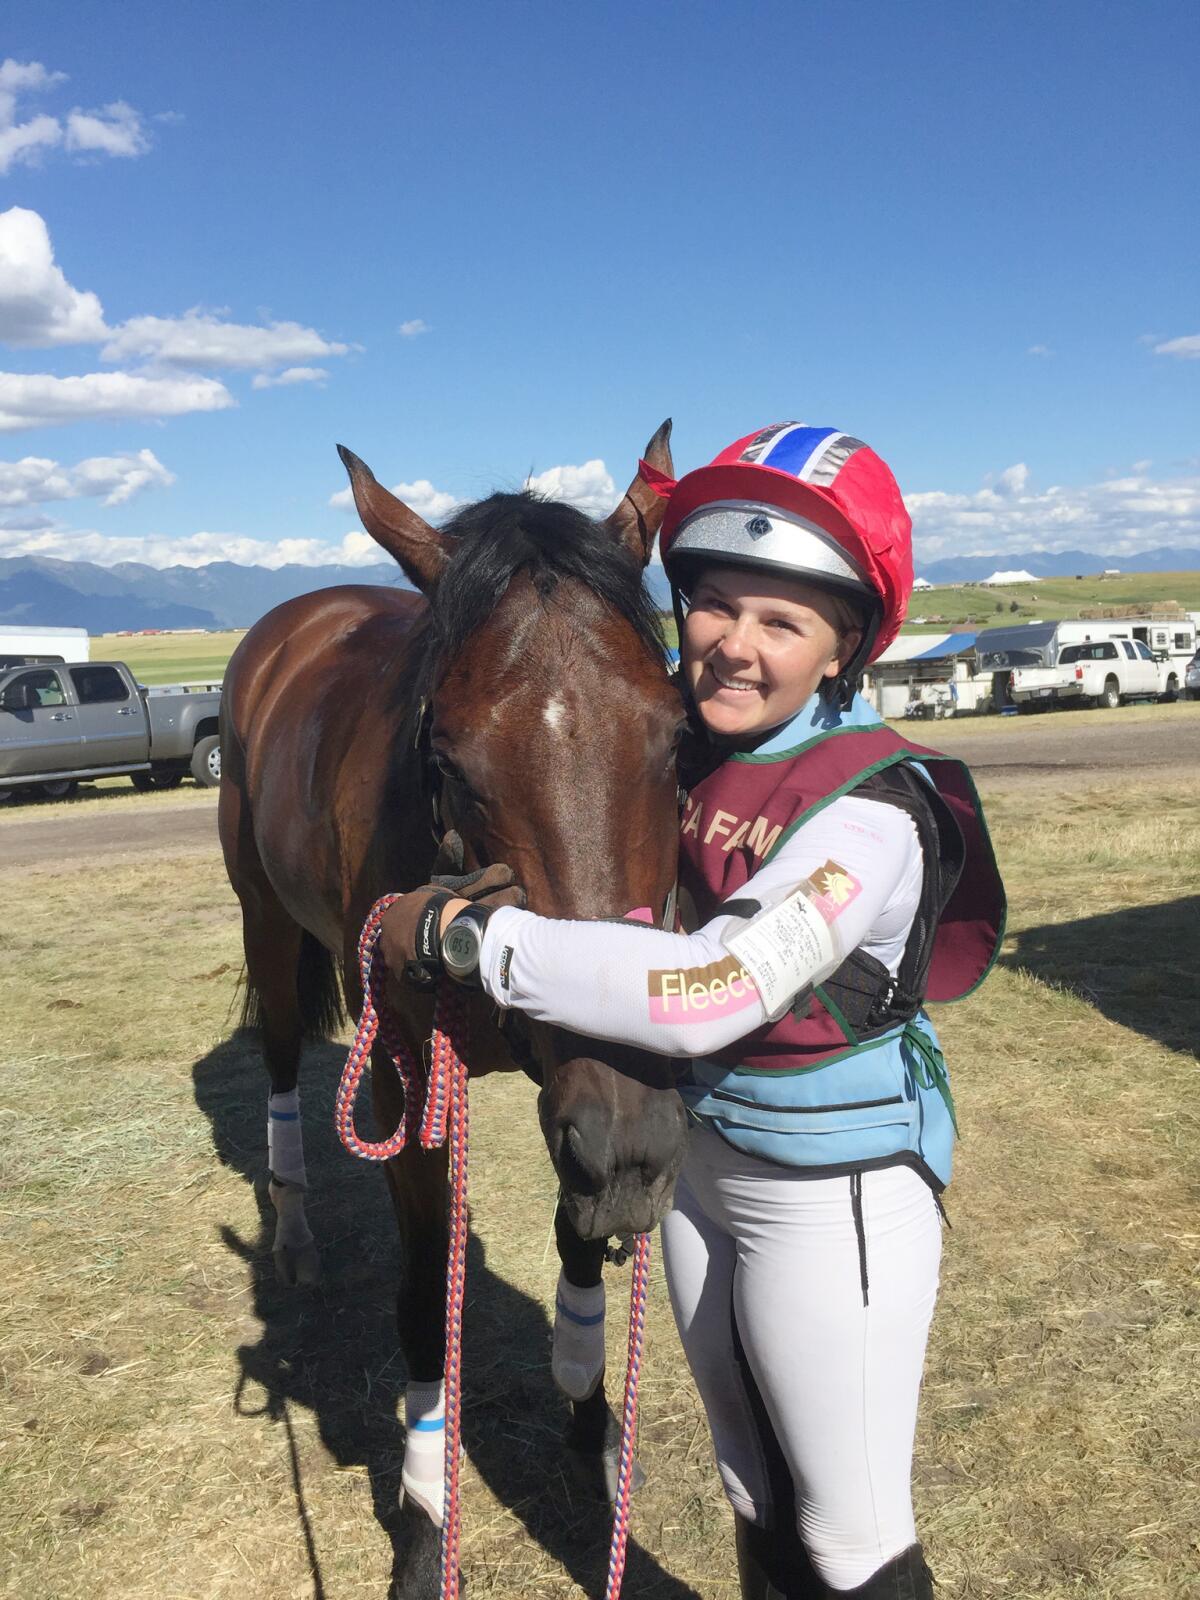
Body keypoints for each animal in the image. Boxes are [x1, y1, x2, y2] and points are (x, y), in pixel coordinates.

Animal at [214, 419, 684, 1593]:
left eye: (675, 734)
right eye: (449, 757)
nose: (640, 1142)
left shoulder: (582, 1091)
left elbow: (578, 1237)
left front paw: (592, 1429)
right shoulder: (413, 1081)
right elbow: (428, 1302)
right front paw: (428, 1524)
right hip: (265, 920)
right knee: (281, 1058)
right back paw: (293, 1219)